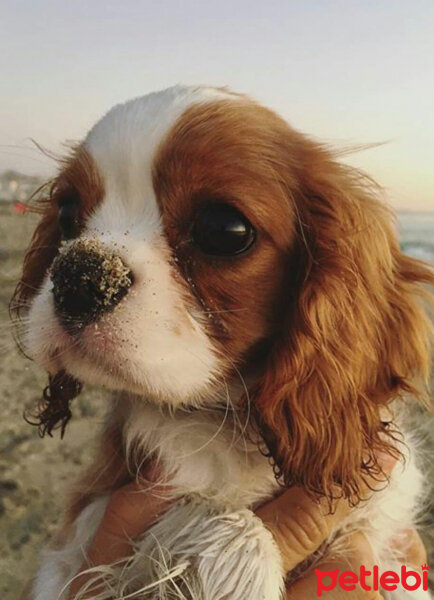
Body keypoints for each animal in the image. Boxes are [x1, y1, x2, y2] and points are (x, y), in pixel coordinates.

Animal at [11, 85, 432, 600]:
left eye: (223, 230)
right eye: (68, 214)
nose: (80, 274)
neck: (233, 424)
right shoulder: (80, 536)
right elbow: (237, 526)